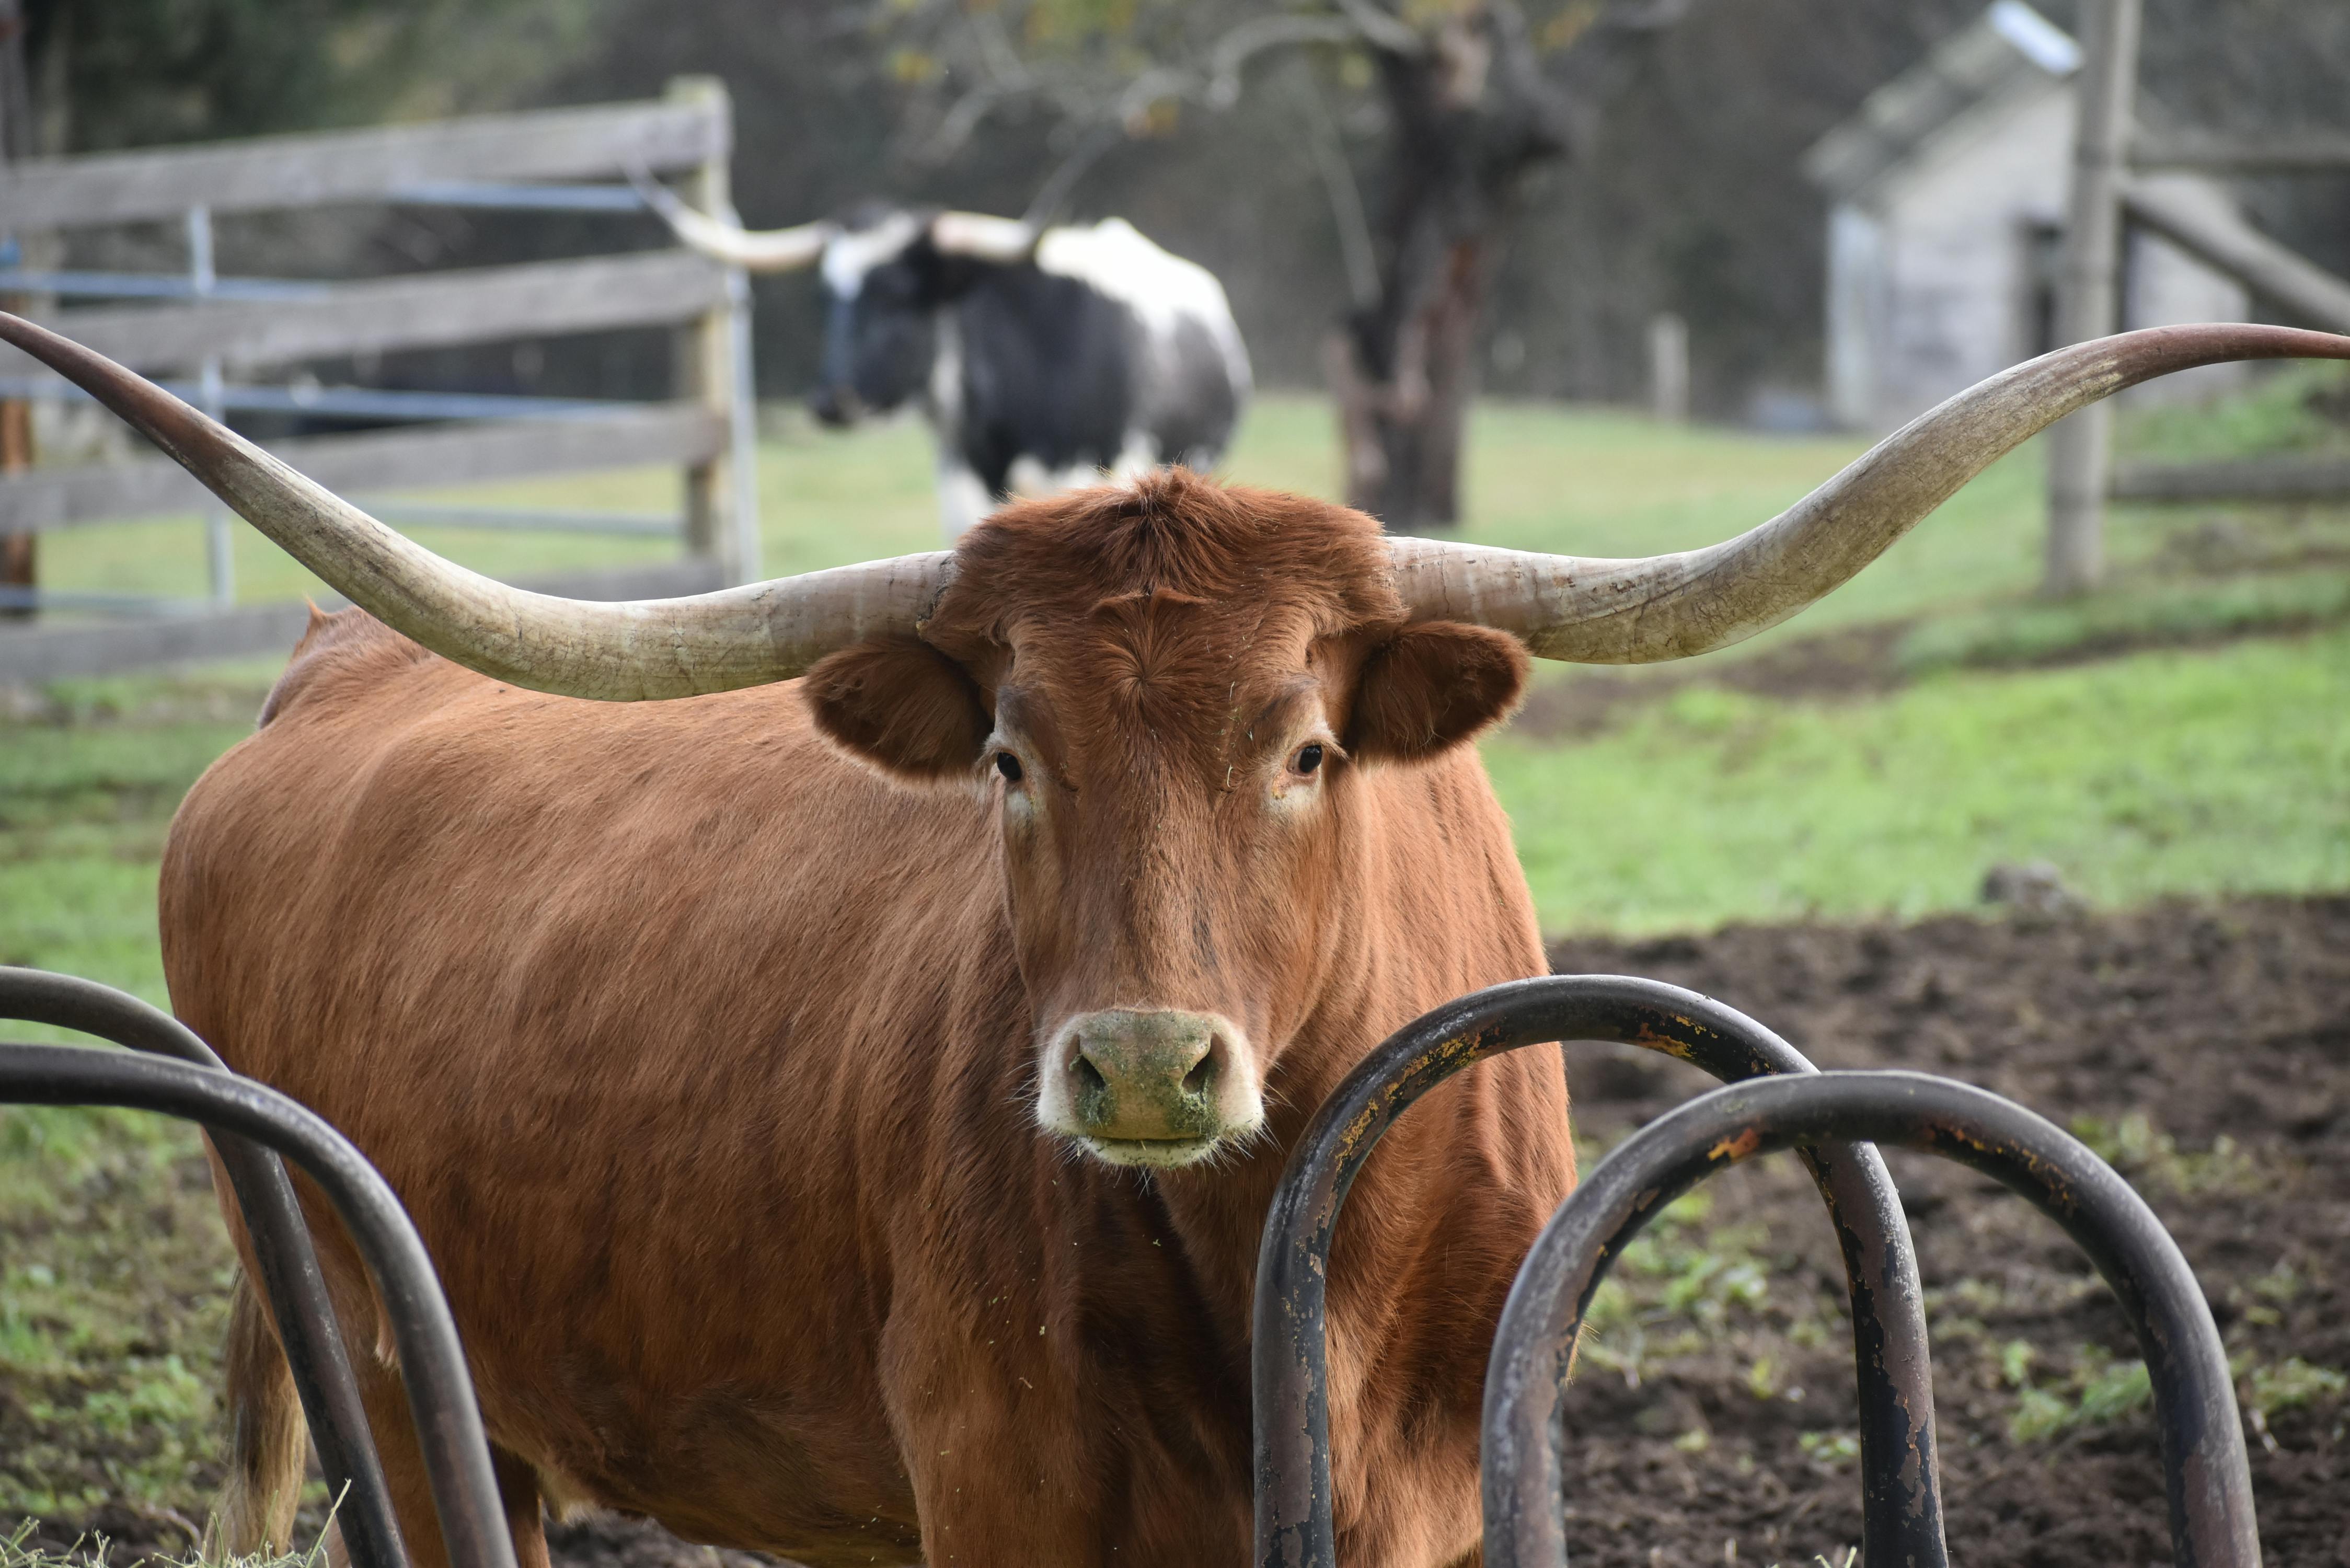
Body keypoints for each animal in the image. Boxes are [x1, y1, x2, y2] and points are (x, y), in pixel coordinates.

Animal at [9, 310, 2341, 1568]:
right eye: (1006, 757)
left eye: (1303, 747)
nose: (1138, 1065)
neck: (1271, 1265)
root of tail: (316, 682)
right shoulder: (1001, 1484)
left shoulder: (1422, 1492)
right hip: (398, 1375)